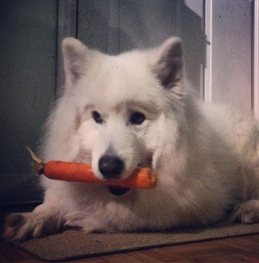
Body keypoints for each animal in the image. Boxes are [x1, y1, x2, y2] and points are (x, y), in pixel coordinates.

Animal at [4, 37, 259, 241]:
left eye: (138, 118)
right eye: (97, 117)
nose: (108, 166)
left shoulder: (196, 207)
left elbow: (129, 218)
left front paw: (88, 220)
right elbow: (53, 202)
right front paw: (32, 218)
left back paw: (248, 209)